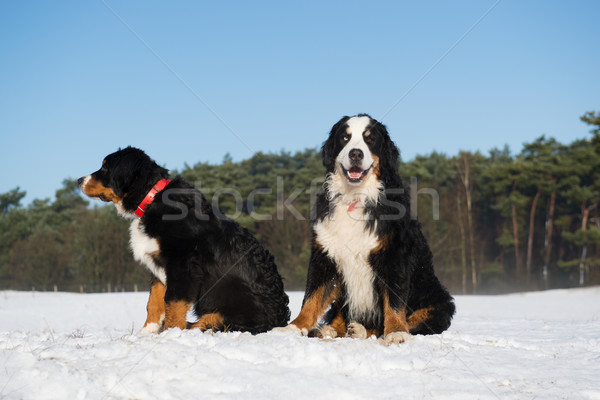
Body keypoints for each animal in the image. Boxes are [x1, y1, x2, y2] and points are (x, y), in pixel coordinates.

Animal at [78, 147, 290, 334]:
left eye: (106, 167)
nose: (79, 180)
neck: (152, 199)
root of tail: (280, 319)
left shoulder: (182, 264)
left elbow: (172, 303)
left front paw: (170, 334)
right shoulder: (160, 266)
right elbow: (153, 302)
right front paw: (147, 332)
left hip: (230, 312)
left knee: (207, 322)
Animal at [282, 113, 454, 344]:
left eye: (370, 139)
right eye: (345, 138)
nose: (355, 153)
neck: (355, 196)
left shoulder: (393, 255)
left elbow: (394, 302)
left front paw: (396, 332)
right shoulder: (325, 255)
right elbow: (312, 296)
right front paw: (293, 327)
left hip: (440, 303)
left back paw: (362, 331)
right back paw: (329, 329)